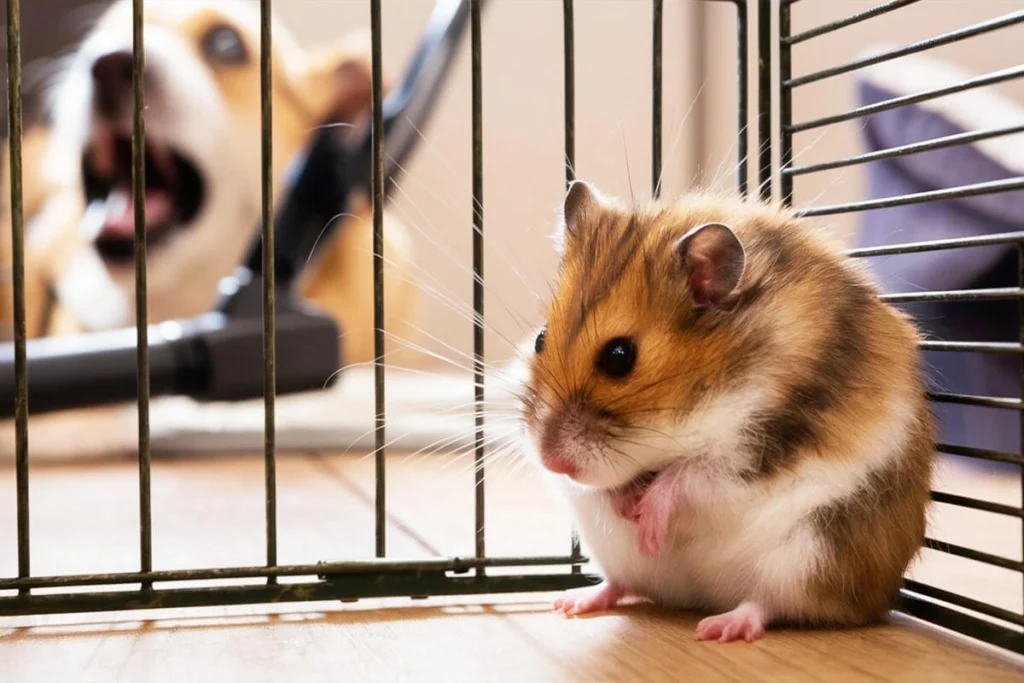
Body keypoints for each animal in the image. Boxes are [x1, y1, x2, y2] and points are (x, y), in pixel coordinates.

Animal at [520, 179, 937, 643]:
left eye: (619, 356)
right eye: (540, 339)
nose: (552, 462)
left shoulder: (760, 449)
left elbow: (687, 476)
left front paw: (648, 524)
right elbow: (609, 488)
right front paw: (627, 507)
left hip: (809, 554)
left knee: (769, 604)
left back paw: (719, 628)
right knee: (620, 584)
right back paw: (572, 602)